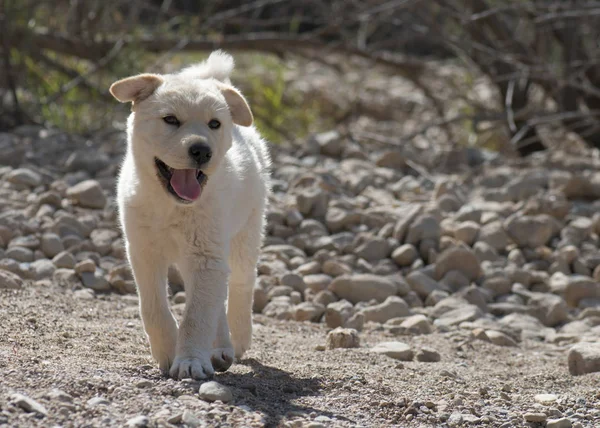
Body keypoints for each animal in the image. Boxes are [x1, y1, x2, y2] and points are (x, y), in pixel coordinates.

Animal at [110, 51, 272, 382]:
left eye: (214, 124)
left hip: (244, 234)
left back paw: (235, 339)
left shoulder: (206, 256)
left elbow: (197, 316)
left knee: (241, 284)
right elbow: (154, 309)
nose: (201, 151)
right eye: (171, 120)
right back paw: (220, 349)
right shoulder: (143, 252)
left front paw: (190, 361)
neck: (170, 206)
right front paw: (167, 352)